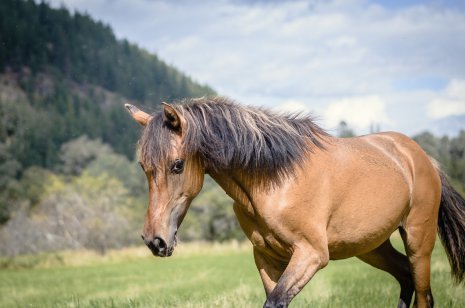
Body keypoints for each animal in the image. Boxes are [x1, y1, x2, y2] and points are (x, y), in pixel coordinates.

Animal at [124, 97, 464, 308]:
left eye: (177, 165)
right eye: (143, 167)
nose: (155, 240)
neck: (275, 179)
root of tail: (421, 158)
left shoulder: (310, 255)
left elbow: (274, 302)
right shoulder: (267, 258)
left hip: (419, 241)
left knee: (423, 294)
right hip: (372, 246)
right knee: (405, 277)